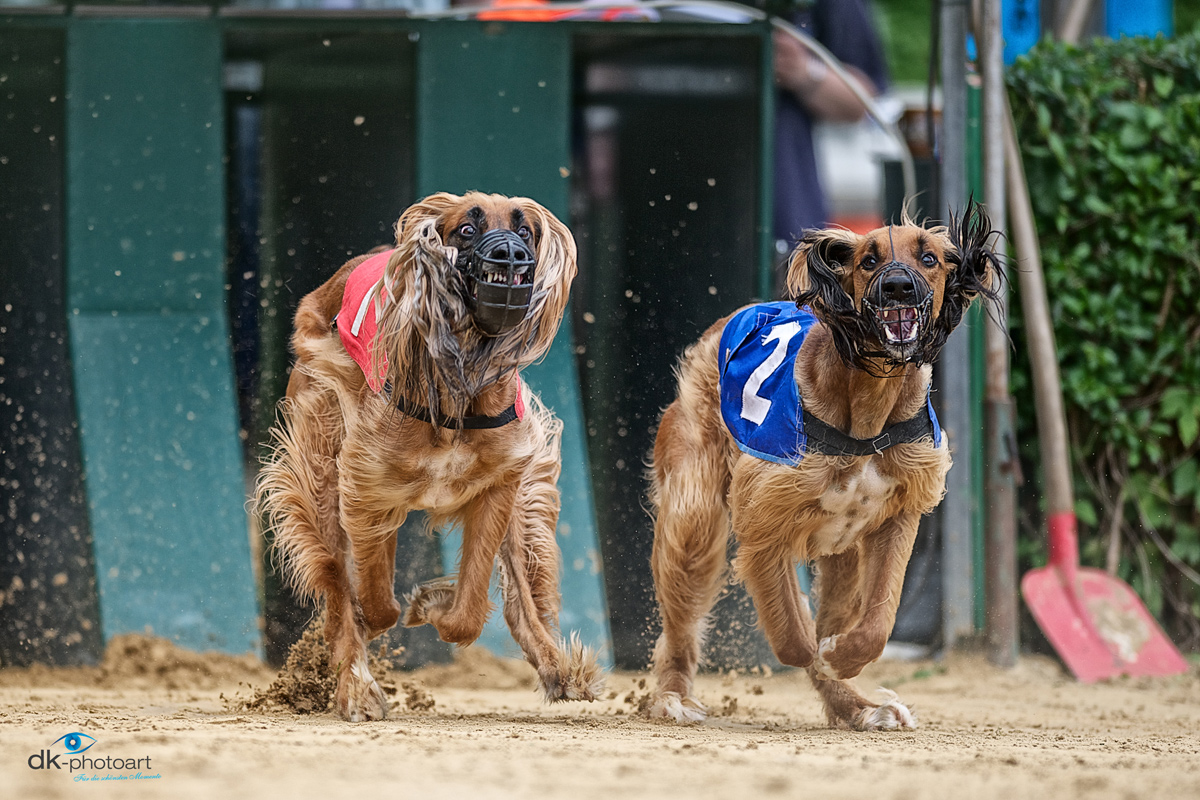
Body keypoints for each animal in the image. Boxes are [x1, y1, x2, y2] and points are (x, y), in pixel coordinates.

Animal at [258, 191, 604, 719]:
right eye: (467, 228)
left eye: (524, 231)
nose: (510, 254)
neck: (460, 389)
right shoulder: (364, 489)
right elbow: (373, 602)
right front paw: (371, 638)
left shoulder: (498, 487)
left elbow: (469, 609)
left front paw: (434, 603)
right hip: (321, 466)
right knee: (338, 579)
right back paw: (354, 684)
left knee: (522, 597)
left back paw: (556, 665)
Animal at [643, 205, 998, 734]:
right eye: (869, 260)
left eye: (929, 258)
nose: (898, 287)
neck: (869, 411)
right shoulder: (765, 522)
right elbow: (794, 634)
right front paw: (823, 658)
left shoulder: (897, 517)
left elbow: (877, 622)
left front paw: (844, 665)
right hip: (695, 517)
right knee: (681, 622)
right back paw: (672, 696)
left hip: (842, 556)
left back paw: (859, 706)